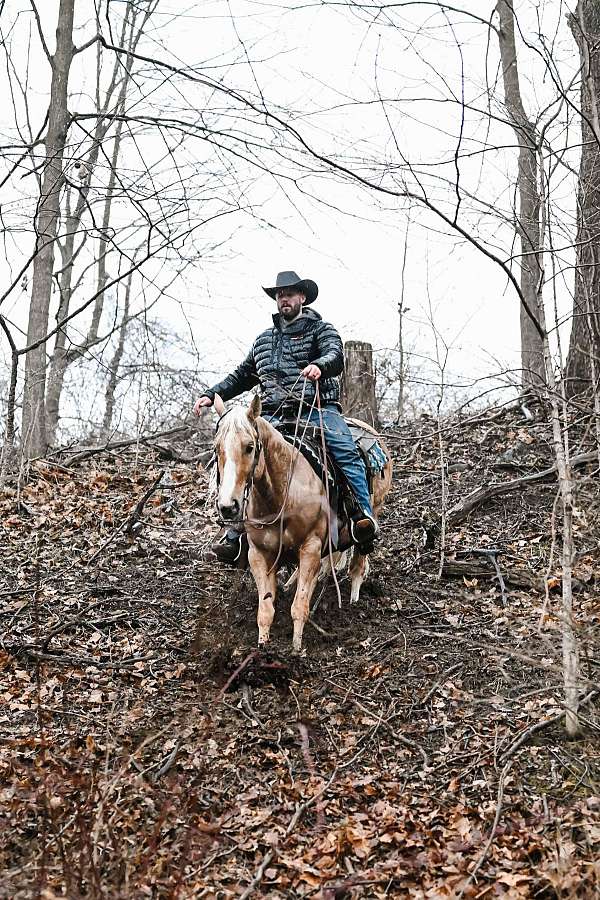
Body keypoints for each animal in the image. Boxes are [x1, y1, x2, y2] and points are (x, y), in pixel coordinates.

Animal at [212, 392, 394, 648]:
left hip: (374, 508)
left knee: (359, 556)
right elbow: (265, 609)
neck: (282, 495)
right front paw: (262, 646)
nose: (228, 506)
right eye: (216, 448)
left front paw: (296, 649)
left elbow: (300, 606)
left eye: (249, 447)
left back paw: (354, 596)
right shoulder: (258, 554)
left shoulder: (311, 547)